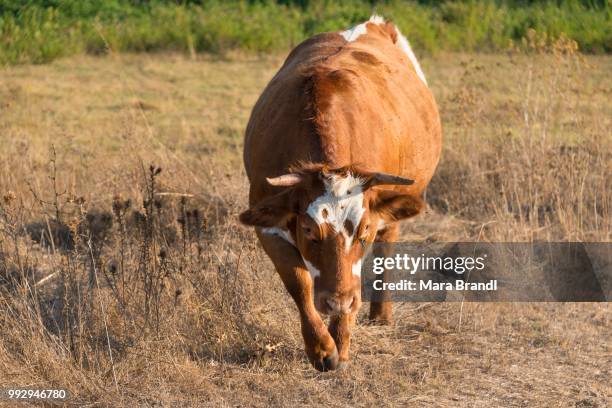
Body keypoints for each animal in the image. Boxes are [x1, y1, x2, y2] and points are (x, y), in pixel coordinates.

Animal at [238, 15, 440, 372]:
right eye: (308, 230)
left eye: (363, 231)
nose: (337, 301)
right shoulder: (268, 224)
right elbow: (300, 283)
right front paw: (321, 347)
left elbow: (354, 277)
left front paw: (341, 340)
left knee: (386, 248)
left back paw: (381, 313)